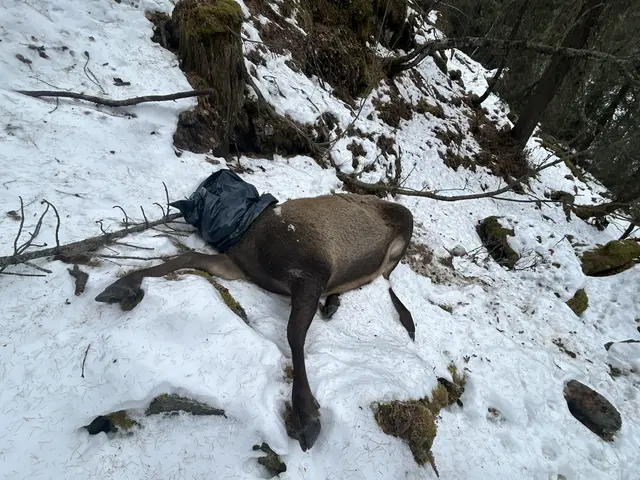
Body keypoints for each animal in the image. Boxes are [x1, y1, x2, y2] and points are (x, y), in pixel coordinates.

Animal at [94, 192, 415, 452]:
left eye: (206, 200)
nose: (216, 227)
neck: (253, 239)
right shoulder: (240, 266)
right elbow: (189, 256)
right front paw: (120, 285)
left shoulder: (313, 270)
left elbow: (294, 333)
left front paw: (306, 415)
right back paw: (334, 303)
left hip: (403, 230)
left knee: (385, 279)